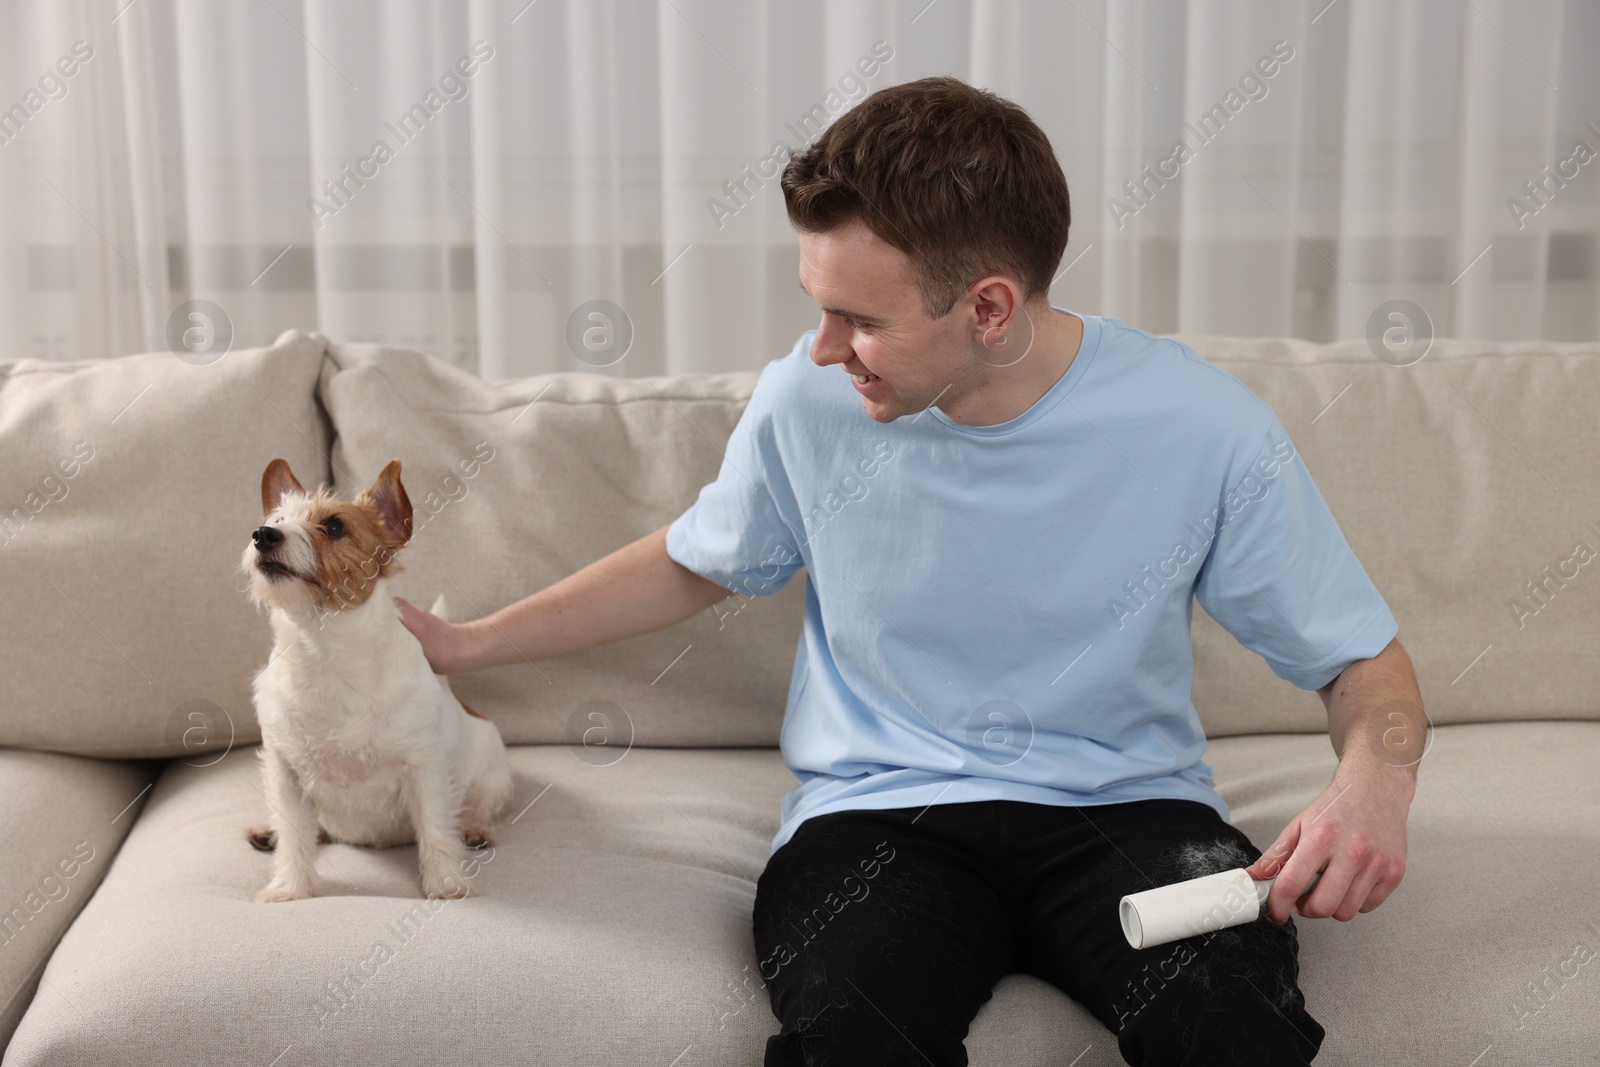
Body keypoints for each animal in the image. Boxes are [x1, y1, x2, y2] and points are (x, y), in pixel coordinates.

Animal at [240, 457, 512, 902]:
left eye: (334, 526)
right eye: (275, 520)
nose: (262, 535)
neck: (326, 651)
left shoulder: (425, 770)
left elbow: (436, 831)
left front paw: (446, 885)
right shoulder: (285, 772)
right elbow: (295, 837)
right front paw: (290, 889)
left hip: (493, 781)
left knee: (475, 810)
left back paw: (474, 830)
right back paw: (271, 832)